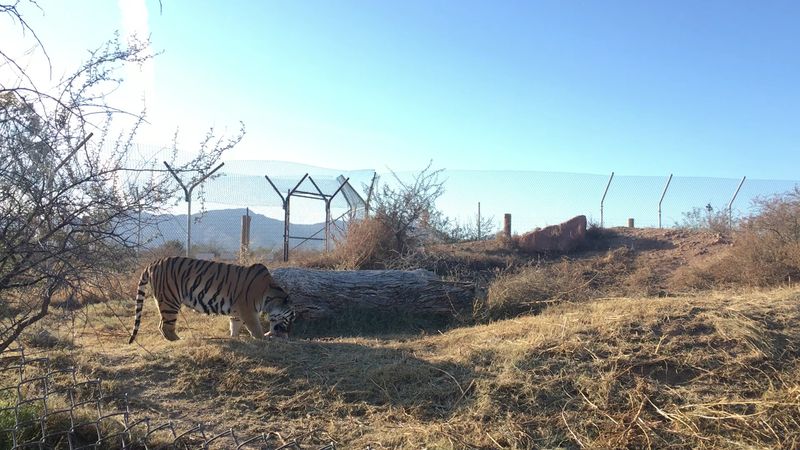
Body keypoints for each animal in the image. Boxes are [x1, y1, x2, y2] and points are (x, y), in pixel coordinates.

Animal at [128, 256, 295, 343]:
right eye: (292, 317)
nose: (288, 333)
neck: (270, 297)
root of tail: (153, 262)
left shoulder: (237, 311)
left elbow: (234, 325)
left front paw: (234, 338)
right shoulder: (248, 311)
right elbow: (255, 328)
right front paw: (262, 339)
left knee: (162, 325)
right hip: (170, 300)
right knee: (165, 326)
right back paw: (179, 340)